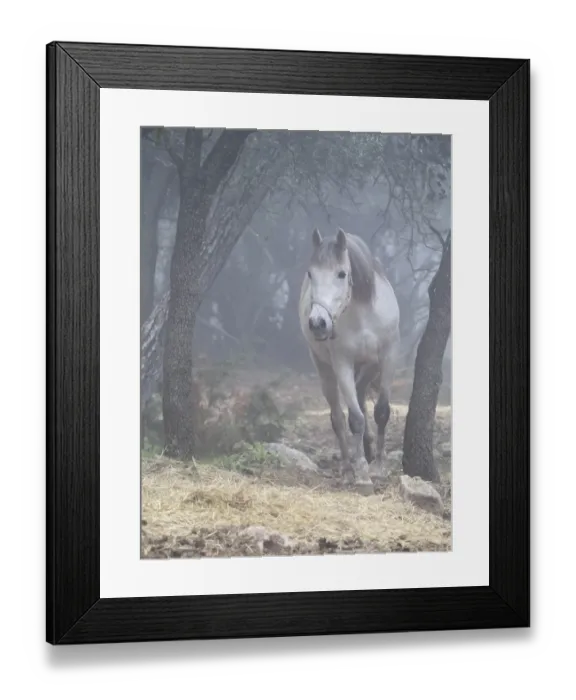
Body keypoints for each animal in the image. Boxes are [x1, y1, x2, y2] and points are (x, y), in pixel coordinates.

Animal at [299, 227, 400, 495]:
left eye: (341, 273)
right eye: (311, 273)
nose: (318, 323)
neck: (363, 314)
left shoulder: (387, 358)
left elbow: (381, 411)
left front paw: (379, 467)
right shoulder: (342, 364)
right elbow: (354, 419)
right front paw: (362, 474)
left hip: (368, 368)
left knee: (362, 398)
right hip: (325, 369)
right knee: (337, 418)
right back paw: (347, 468)